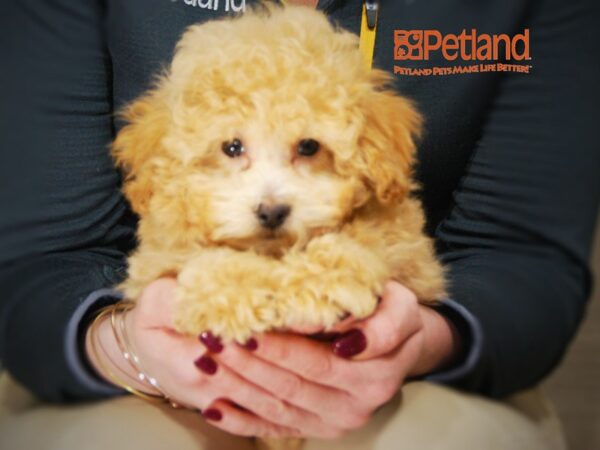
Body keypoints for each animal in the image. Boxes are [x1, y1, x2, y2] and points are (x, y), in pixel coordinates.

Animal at [111, 3, 446, 446]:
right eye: (231, 147)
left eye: (309, 146)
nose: (271, 211)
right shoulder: (155, 260)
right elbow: (194, 260)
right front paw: (232, 295)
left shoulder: (410, 254)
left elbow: (372, 241)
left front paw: (321, 282)